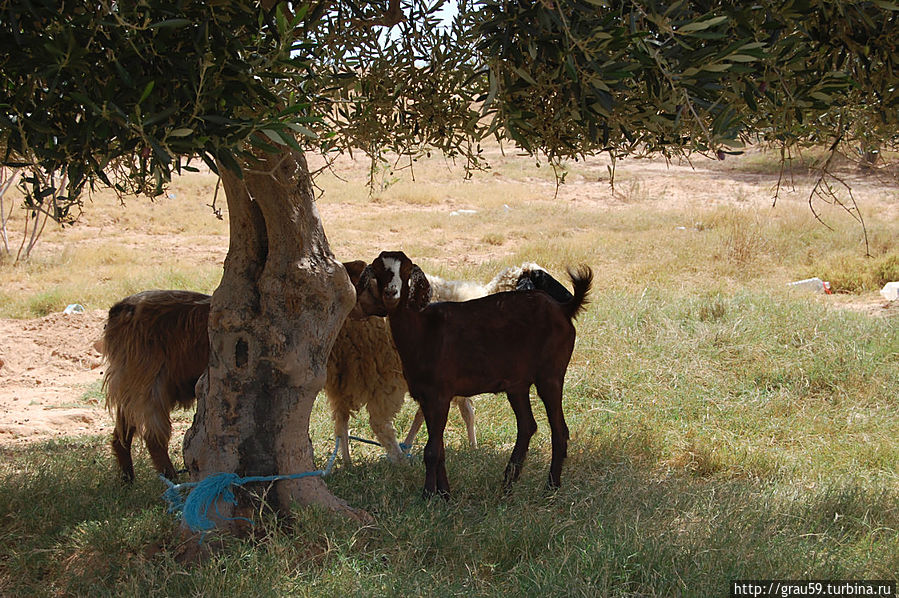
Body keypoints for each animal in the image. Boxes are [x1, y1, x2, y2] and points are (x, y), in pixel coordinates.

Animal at [356, 251, 596, 500]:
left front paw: (428, 495)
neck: (422, 328)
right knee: (527, 426)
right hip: (517, 384)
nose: (391, 293)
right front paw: (445, 494)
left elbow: (431, 450)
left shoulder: (440, 394)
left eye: (406, 271)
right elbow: (438, 447)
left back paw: (551, 486)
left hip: (551, 375)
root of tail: (565, 308)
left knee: (559, 429)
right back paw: (507, 484)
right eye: (378, 270)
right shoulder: (427, 396)